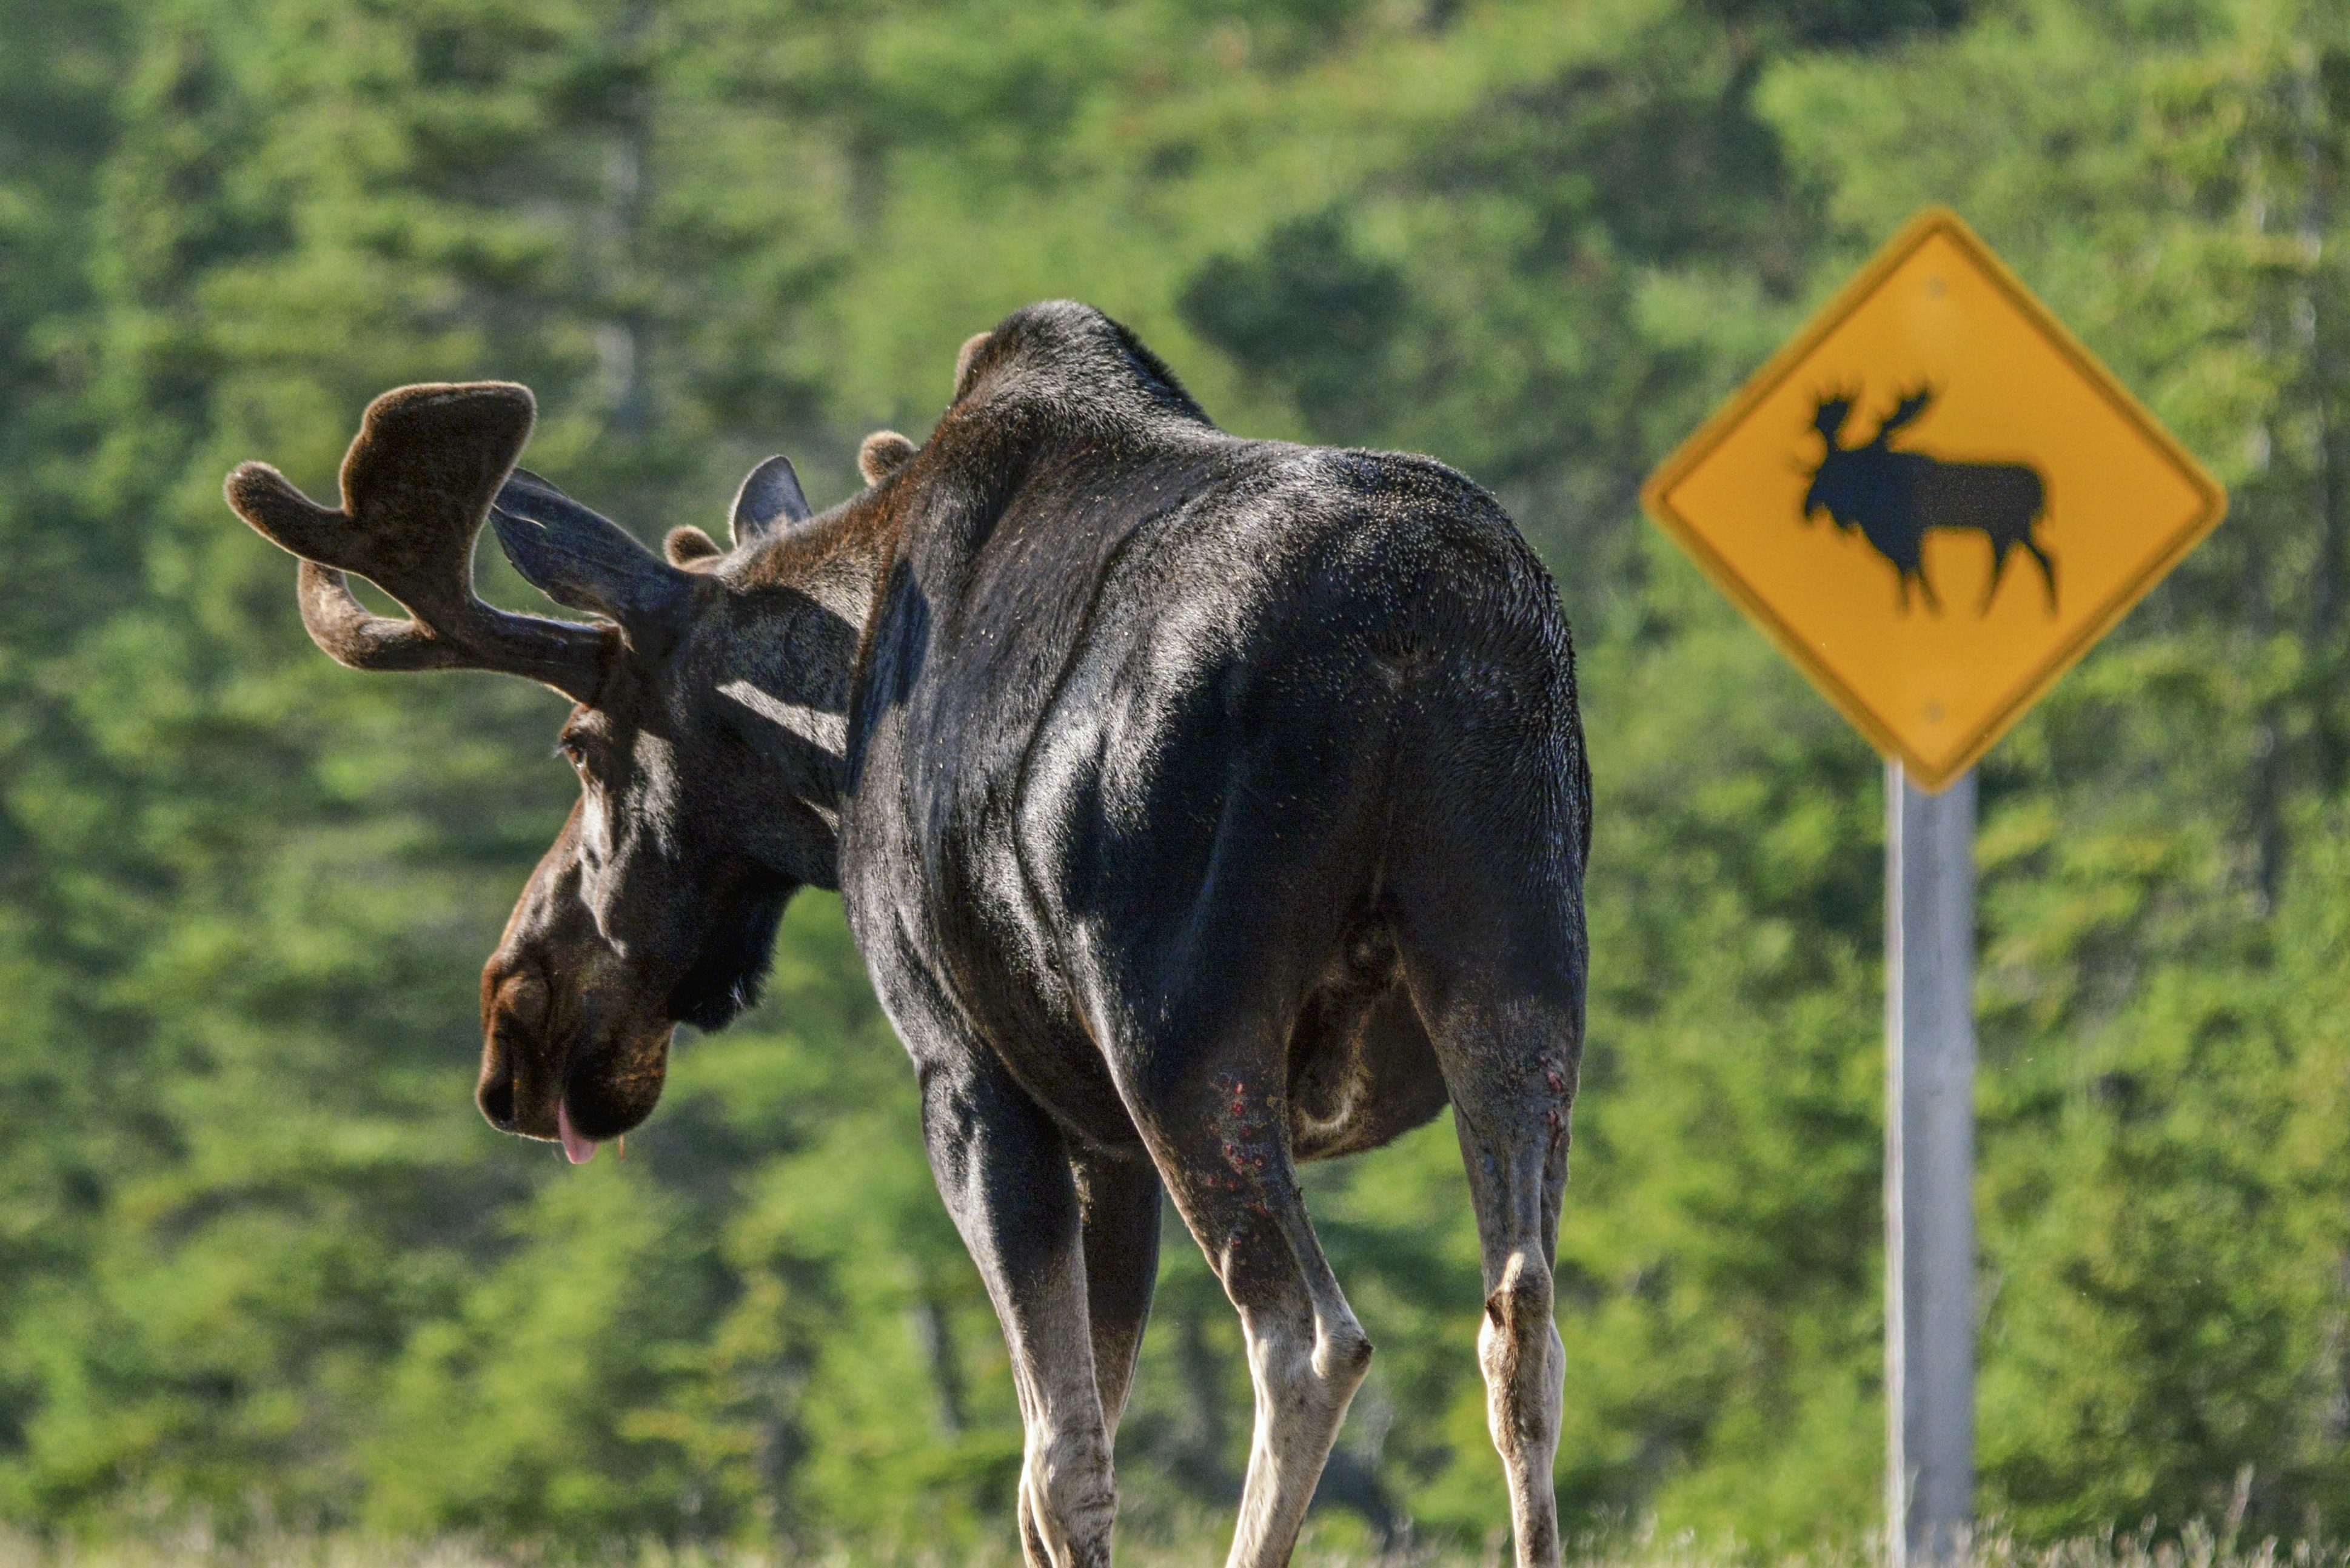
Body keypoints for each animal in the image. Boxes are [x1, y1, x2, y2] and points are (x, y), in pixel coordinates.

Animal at [224, 303, 1598, 1568]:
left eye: (582, 747)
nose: (519, 1018)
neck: (833, 735)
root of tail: (1413, 640)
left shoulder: (973, 1073)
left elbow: (1057, 1463)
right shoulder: (1101, 1131)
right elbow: (1082, 1434)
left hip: (1183, 1027)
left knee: (1307, 1339)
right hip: (1516, 971)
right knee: (1522, 1318)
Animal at [1795, 383, 2058, 615]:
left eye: (1838, 470)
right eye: (1819, 469)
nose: (1806, 507)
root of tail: (2042, 487)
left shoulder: (1913, 532)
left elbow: (1916, 569)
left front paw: (1932, 608)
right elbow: (1907, 571)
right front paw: (1911, 609)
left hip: (2011, 526)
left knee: (2018, 561)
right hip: (2009, 530)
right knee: (2034, 559)